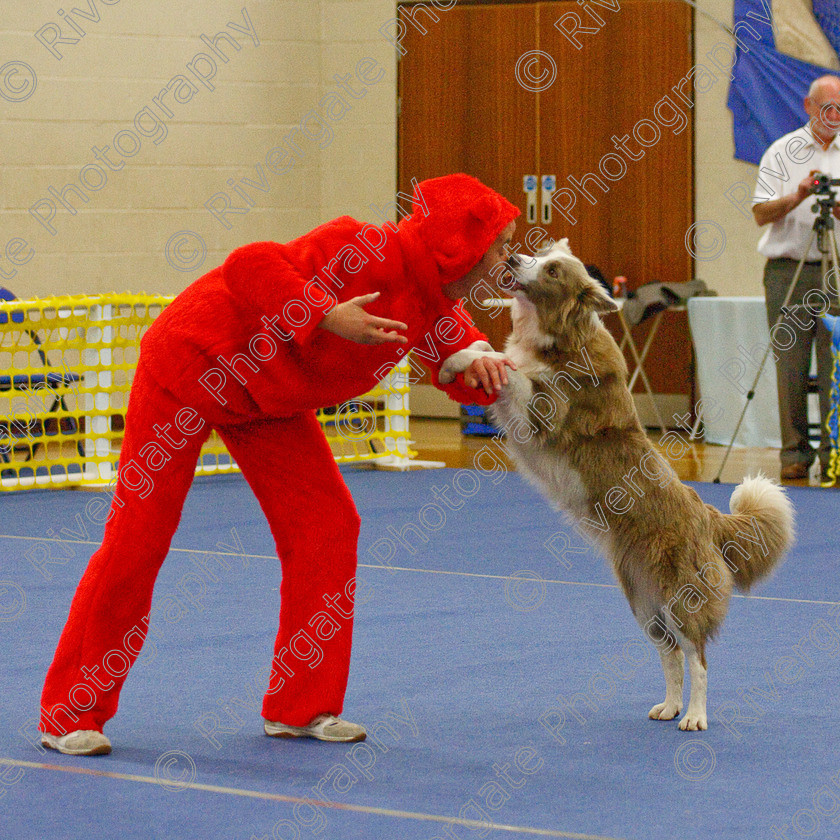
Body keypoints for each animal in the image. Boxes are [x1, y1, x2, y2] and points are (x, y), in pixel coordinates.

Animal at [482, 238, 796, 728]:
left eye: (553, 271)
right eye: (541, 253)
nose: (513, 258)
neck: (562, 336)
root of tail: (708, 517)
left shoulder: (546, 412)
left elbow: (514, 374)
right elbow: (506, 368)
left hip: (681, 597)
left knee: (698, 657)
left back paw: (695, 717)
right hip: (645, 601)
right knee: (671, 655)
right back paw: (669, 707)